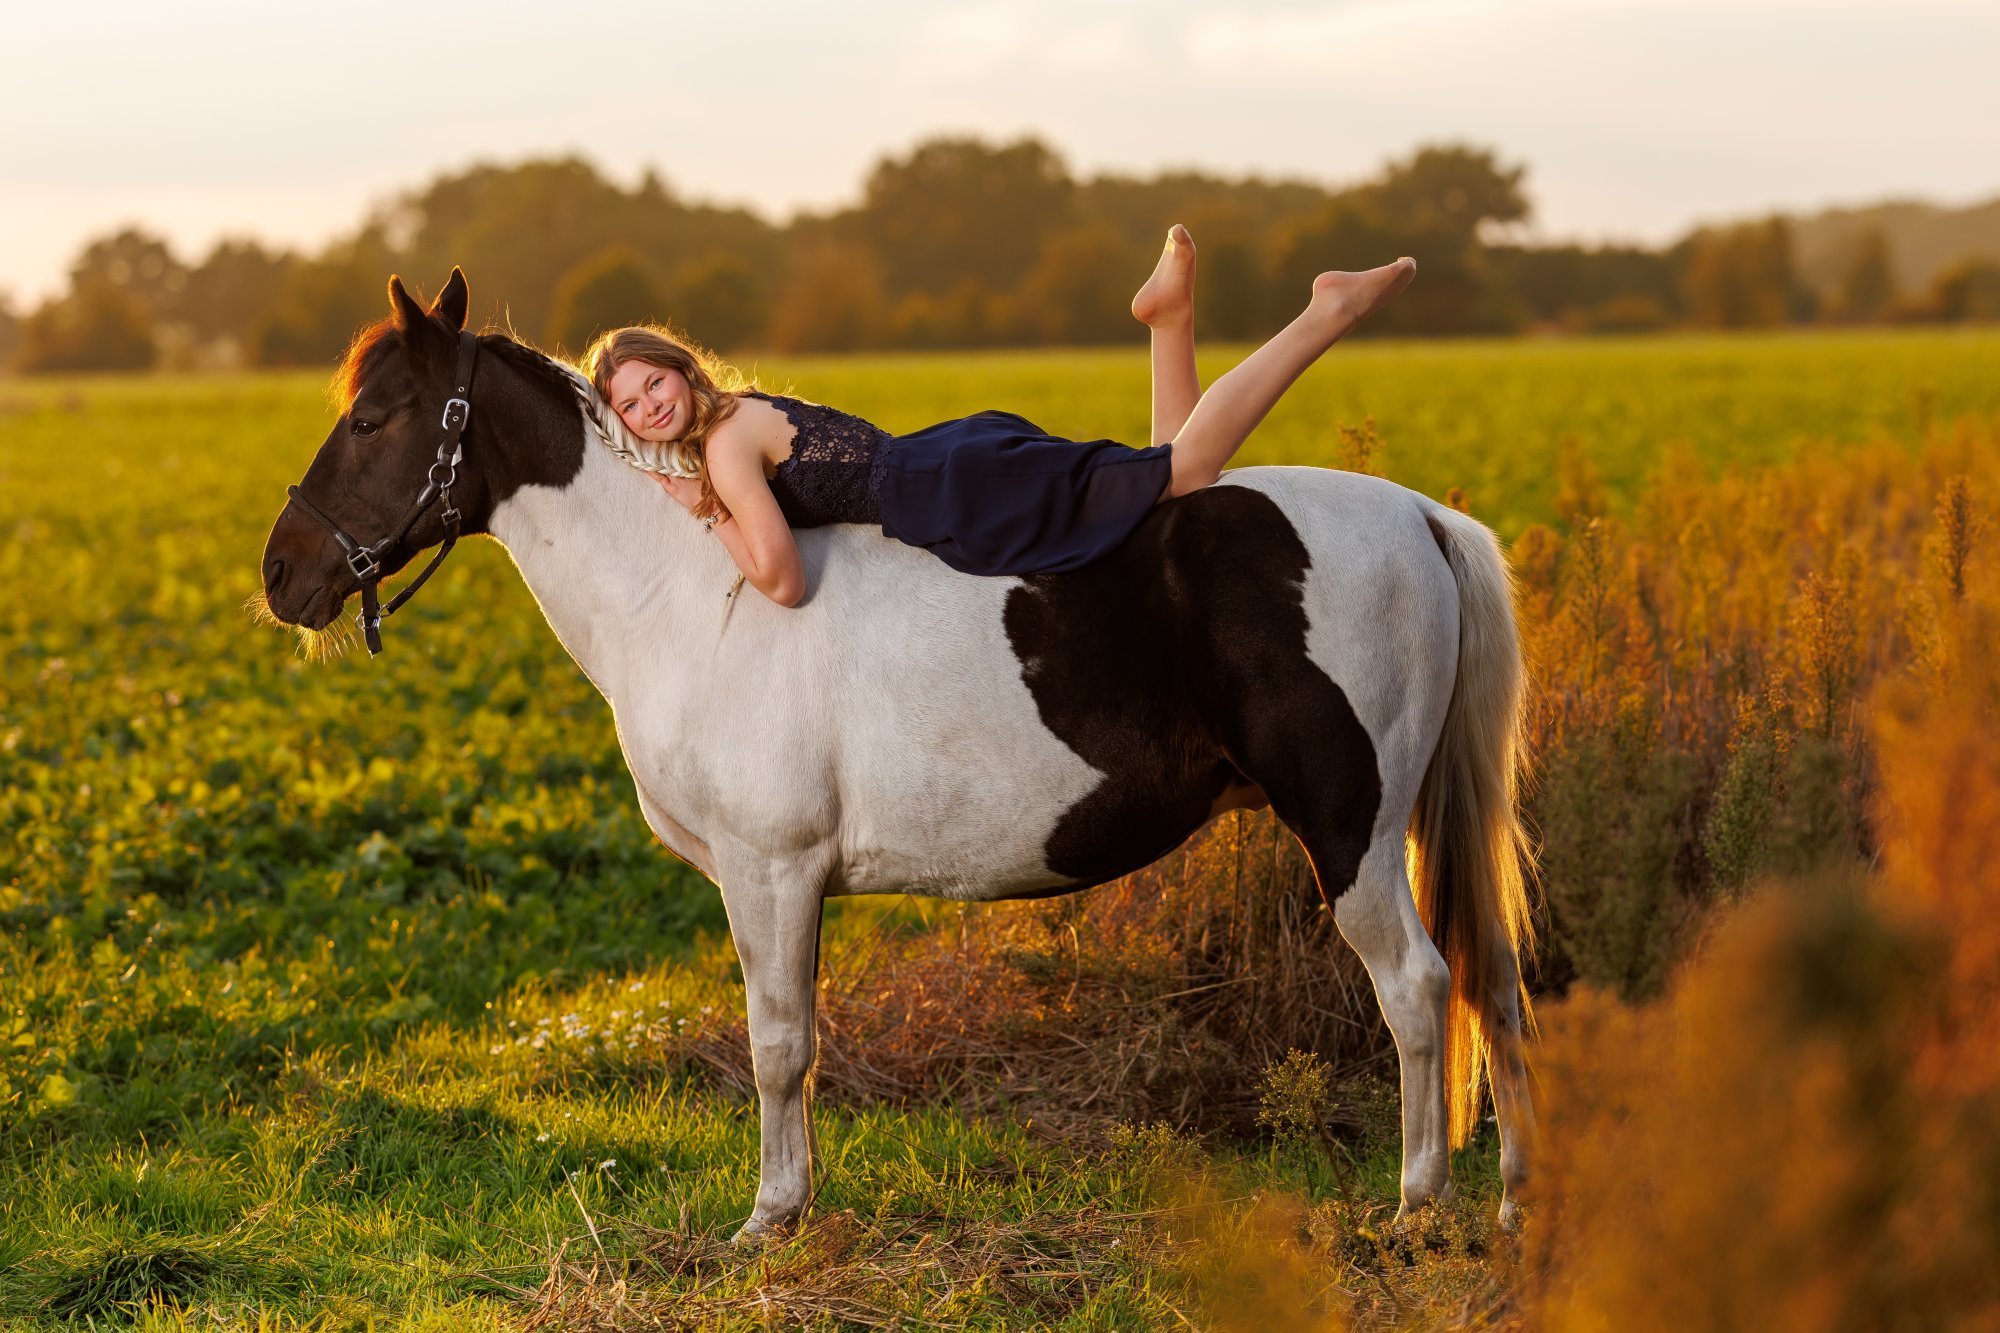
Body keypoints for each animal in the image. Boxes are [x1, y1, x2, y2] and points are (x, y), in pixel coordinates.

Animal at [259, 269, 1537, 1236]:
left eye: (375, 417)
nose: (282, 575)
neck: (690, 600)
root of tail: (1419, 516)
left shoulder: (768, 870)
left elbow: (777, 1045)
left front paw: (767, 1219)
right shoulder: (794, 882)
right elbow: (804, 1041)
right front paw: (796, 1204)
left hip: (1350, 831)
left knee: (1419, 988)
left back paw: (1416, 1206)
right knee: (1494, 981)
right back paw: (1515, 1197)